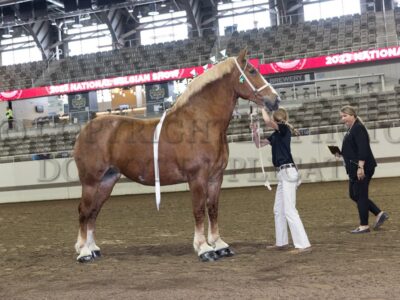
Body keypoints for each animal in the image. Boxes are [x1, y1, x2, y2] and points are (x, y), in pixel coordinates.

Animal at [75, 48, 282, 262]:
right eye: (252, 71)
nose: (275, 100)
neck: (200, 123)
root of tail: (84, 131)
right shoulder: (197, 178)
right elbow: (199, 210)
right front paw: (204, 248)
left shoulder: (216, 177)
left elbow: (213, 209)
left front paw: (220, 245)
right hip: (90, 182)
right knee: (84, 211)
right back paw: (83, 251)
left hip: (107, 181)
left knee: (94, 212)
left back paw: (93, 248)